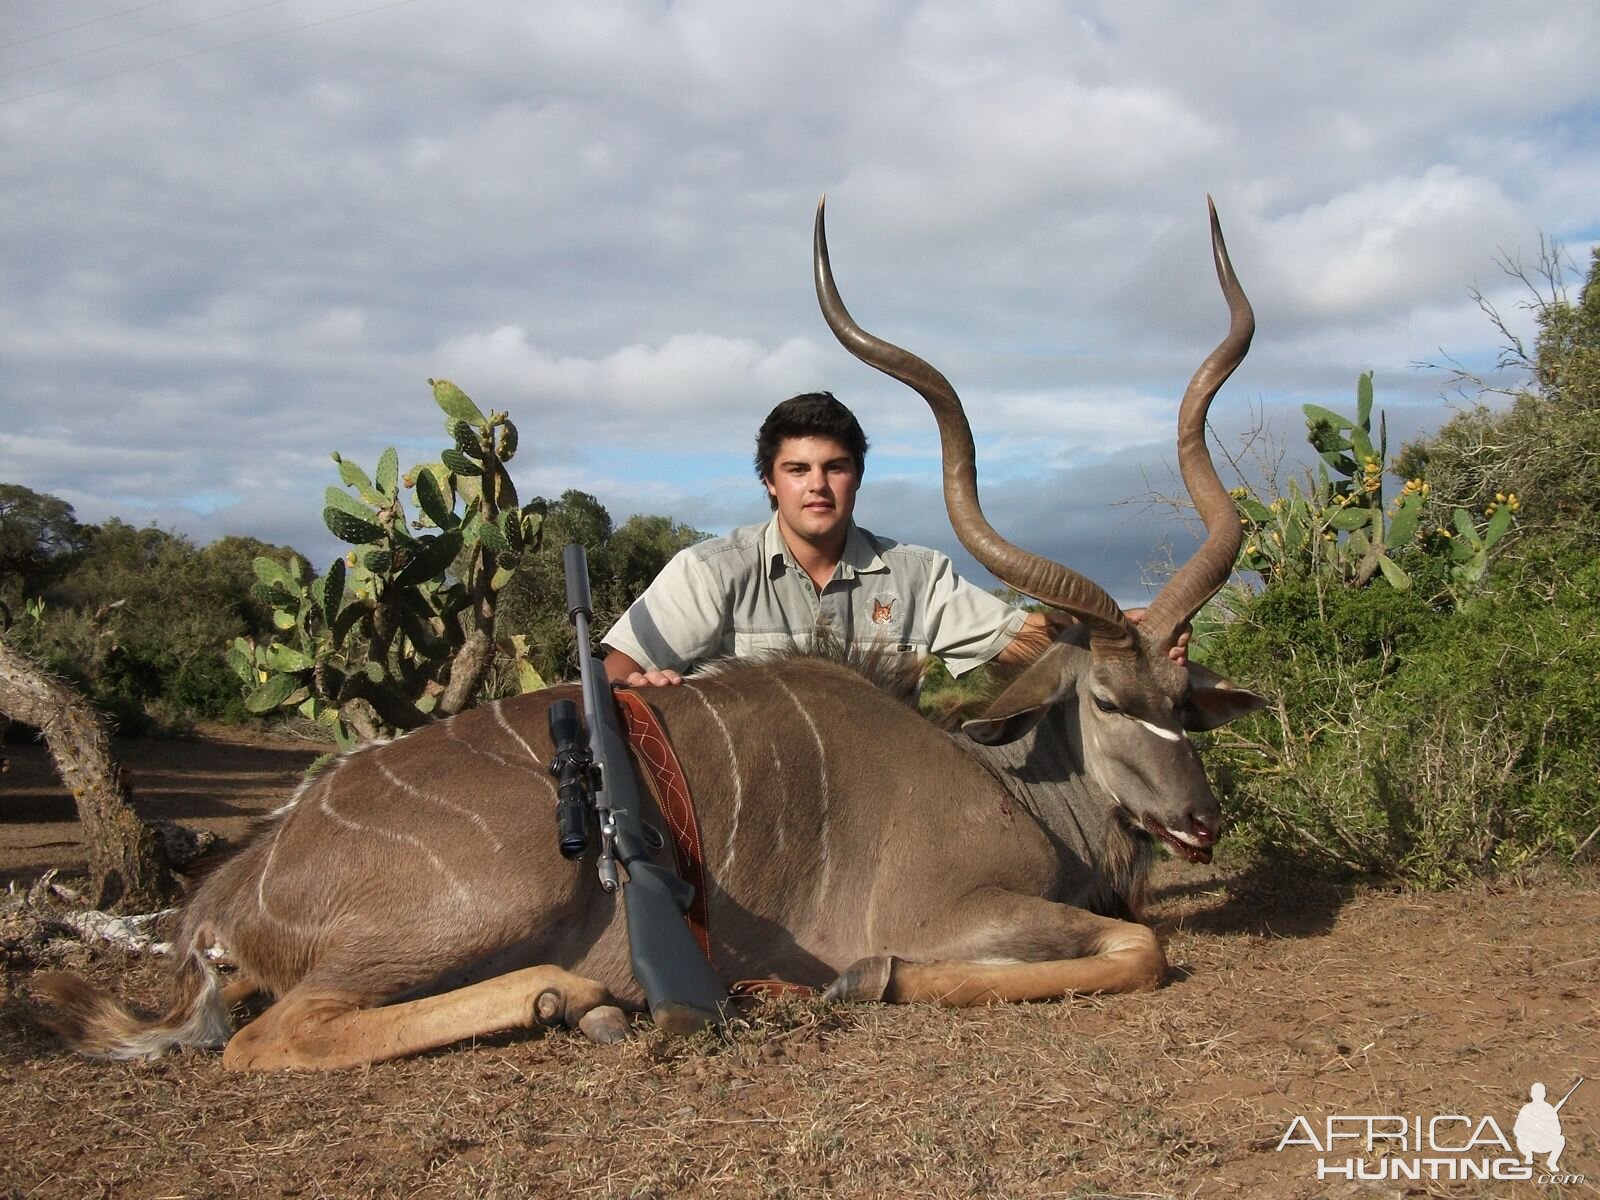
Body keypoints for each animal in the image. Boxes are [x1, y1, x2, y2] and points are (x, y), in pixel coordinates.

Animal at [34, 197, 1260, 1068]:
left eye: (1185, 699)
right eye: (1107, 700)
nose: (1200, 822)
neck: (1016, 781)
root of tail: (233, 892)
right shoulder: (957, 910)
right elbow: (1137, 948)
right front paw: (869, 980)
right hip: (490, 899)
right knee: (270, 1038)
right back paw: (574, 996)